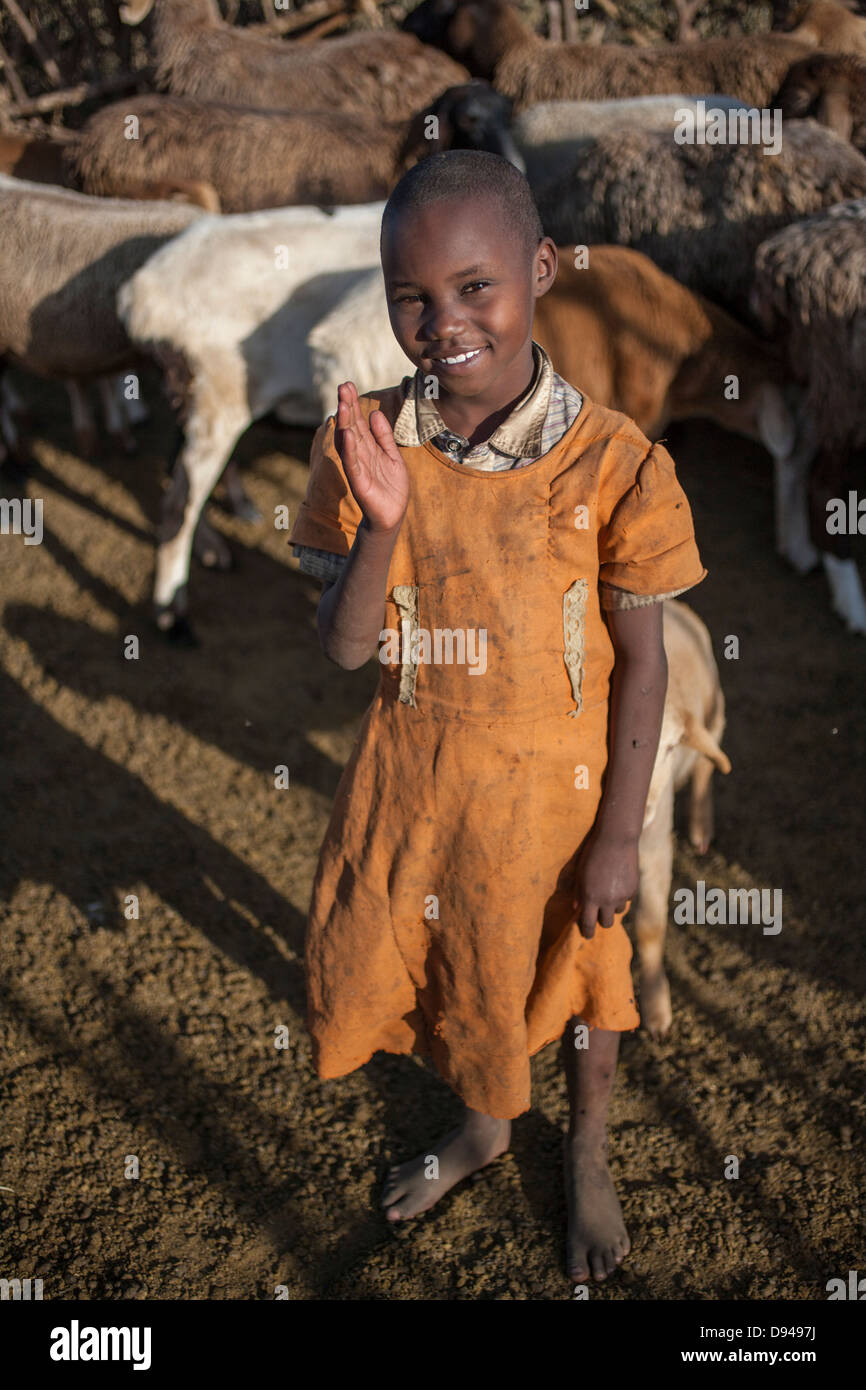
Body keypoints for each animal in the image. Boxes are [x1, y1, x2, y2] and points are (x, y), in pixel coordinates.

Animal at [750, 195, 866, 631]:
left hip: (826, 376)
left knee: (793, 449)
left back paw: (797, 547)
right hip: (846, 383)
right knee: (823, 486)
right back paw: (854, 607)